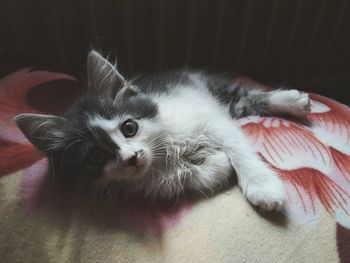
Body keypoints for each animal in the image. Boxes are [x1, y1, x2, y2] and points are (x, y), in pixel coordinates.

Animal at [13, 50, 310, 212]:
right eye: (96, 157)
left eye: (129, 127)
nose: (131, 158)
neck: (163, 151)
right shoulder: (156, 185)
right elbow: (194, 177)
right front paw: (217, 163)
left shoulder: (211, 120)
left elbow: (239, 151)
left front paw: (263, 187)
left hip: (208, 88)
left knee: (244, 95)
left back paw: (294, 101)